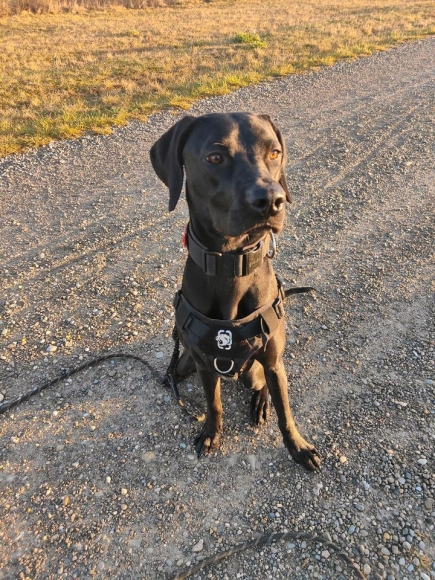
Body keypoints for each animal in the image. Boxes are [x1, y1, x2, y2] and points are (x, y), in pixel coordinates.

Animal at [150, 112, 320, 471]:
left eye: (274, 152)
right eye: (215, 157)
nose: (272, 201)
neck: (232, 264)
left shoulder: (272, 361)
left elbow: (285, 410)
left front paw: (298, 447)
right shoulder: (203, 365)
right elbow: (213, 403)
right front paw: (211, 433)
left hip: (256, 370)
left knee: (265, 385)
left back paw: (260, 404)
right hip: (186, 361)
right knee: (179, 371)